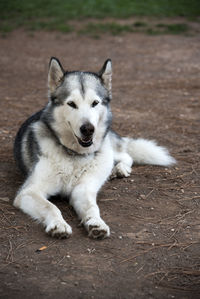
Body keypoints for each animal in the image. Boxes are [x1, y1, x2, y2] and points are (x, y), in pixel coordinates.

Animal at [13, 58, 175, 240]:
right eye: (71, 104)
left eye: (95, 103)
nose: (88, 129)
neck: (75, 156)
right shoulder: (28, 192)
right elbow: (51, 206)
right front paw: (58, 224)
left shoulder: (83, 189)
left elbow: (92, 207)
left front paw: (96, 222)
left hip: (108, 149)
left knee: (126, 155)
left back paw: (120, 169)